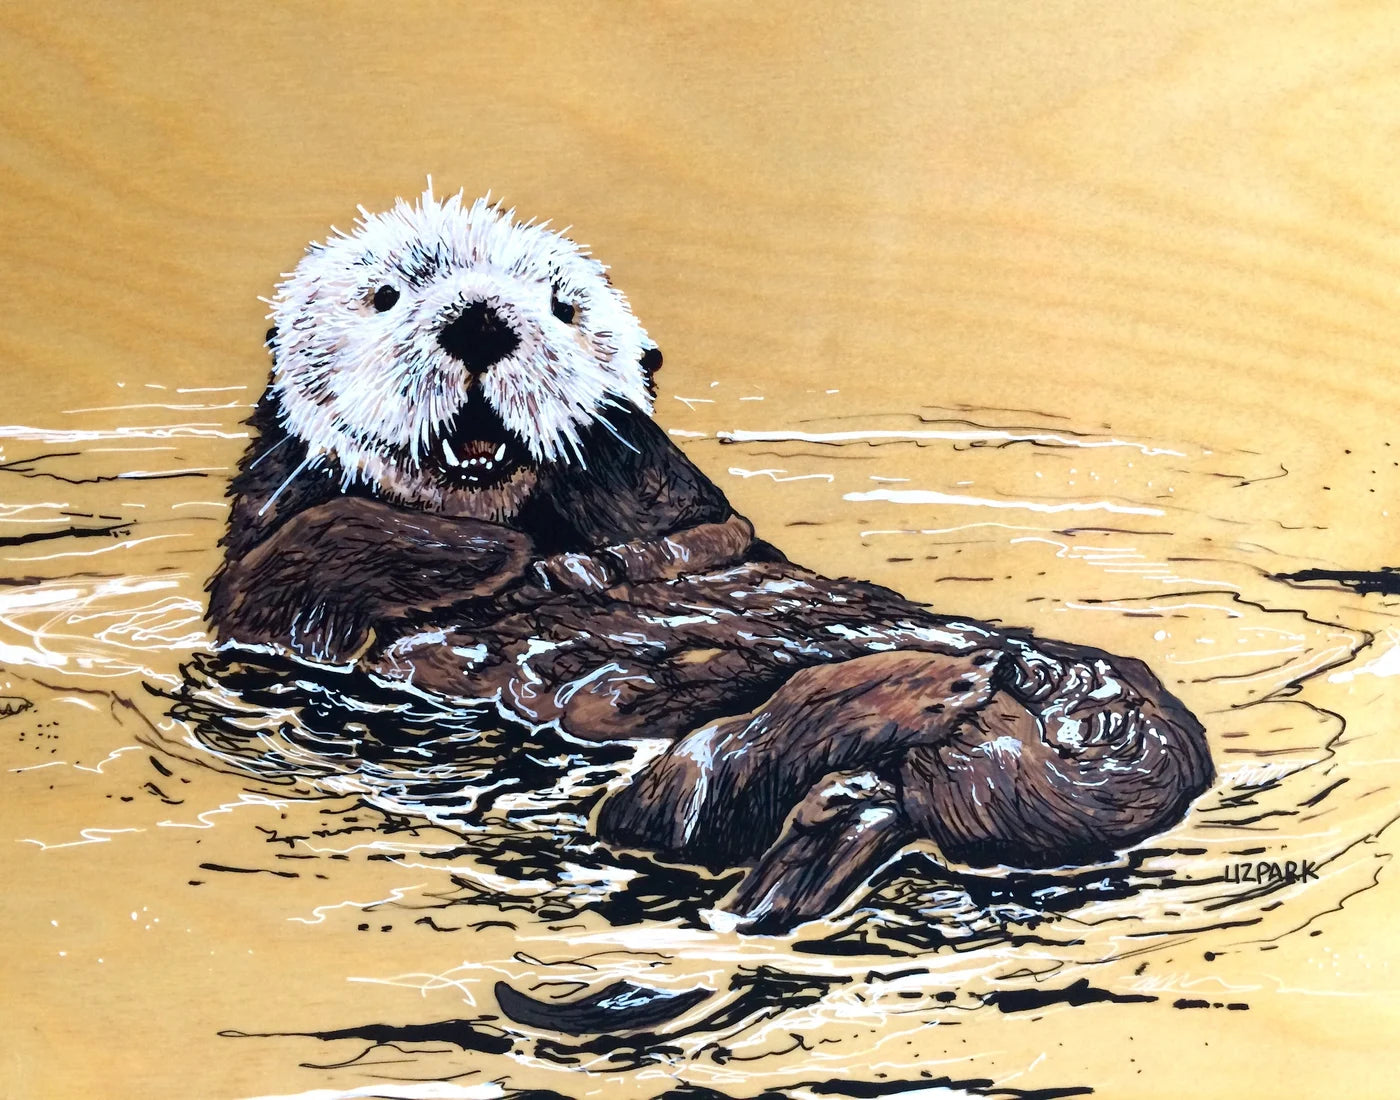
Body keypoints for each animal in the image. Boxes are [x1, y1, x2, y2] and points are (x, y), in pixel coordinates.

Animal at [208, 187, 1213, 934]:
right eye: (384, 295)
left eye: (563, 306)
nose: (483, 322)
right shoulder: (266, 588)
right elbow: (298, 562)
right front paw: (495, 549)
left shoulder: (691, 514)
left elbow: (692, 514)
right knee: (680, 807)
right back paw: (909, 694)